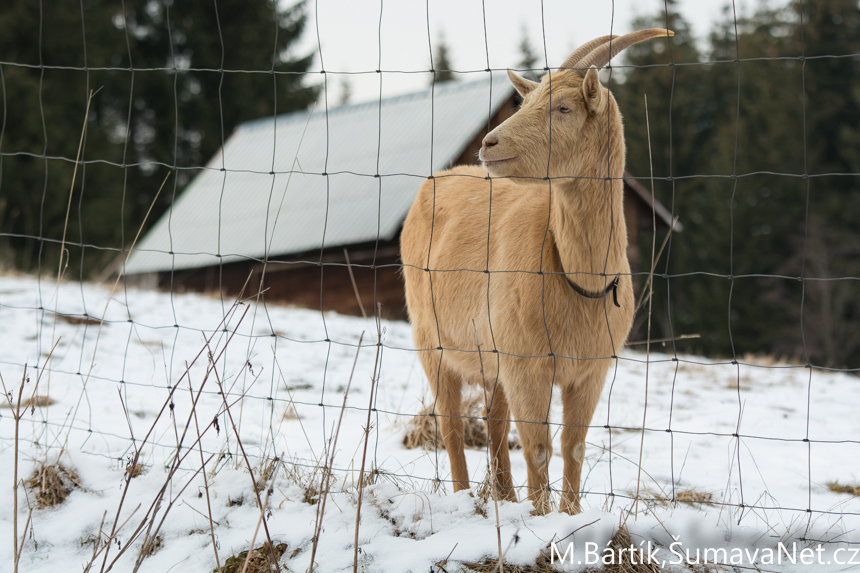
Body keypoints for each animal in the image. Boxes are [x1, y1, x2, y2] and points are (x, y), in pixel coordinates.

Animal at [400, 30, 676, 512]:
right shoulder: (527, 364)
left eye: (563, 108)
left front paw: (570, 514)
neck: (576, 276)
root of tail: (438, 179)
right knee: (452, 424)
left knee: (493, 422)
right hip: (432, 341)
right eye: (525, 102)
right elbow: (539, 447)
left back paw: (504, 498)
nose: (488, 144)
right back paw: (464, 497)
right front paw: (541, 515)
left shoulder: (590, 369)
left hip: (494, 358)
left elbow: (574, 446)